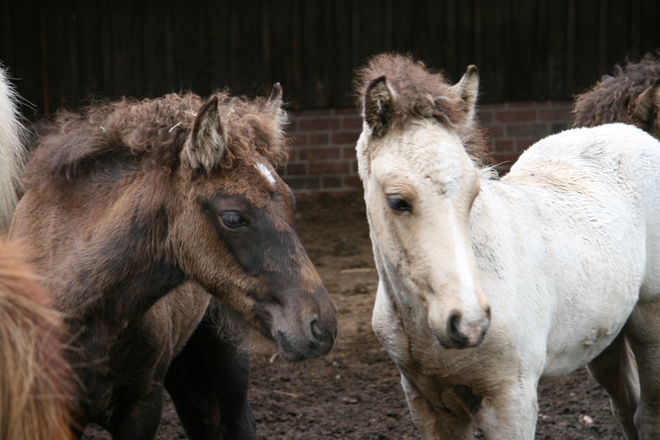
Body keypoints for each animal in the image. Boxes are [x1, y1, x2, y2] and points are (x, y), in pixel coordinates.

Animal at [356, 53, 660, 438]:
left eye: (473, 192)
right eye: (397, 201)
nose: (468, 322)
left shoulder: (511, 401)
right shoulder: (427, 402)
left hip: (651, 324)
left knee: (649, 415)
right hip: (604, 336)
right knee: (626, 407)